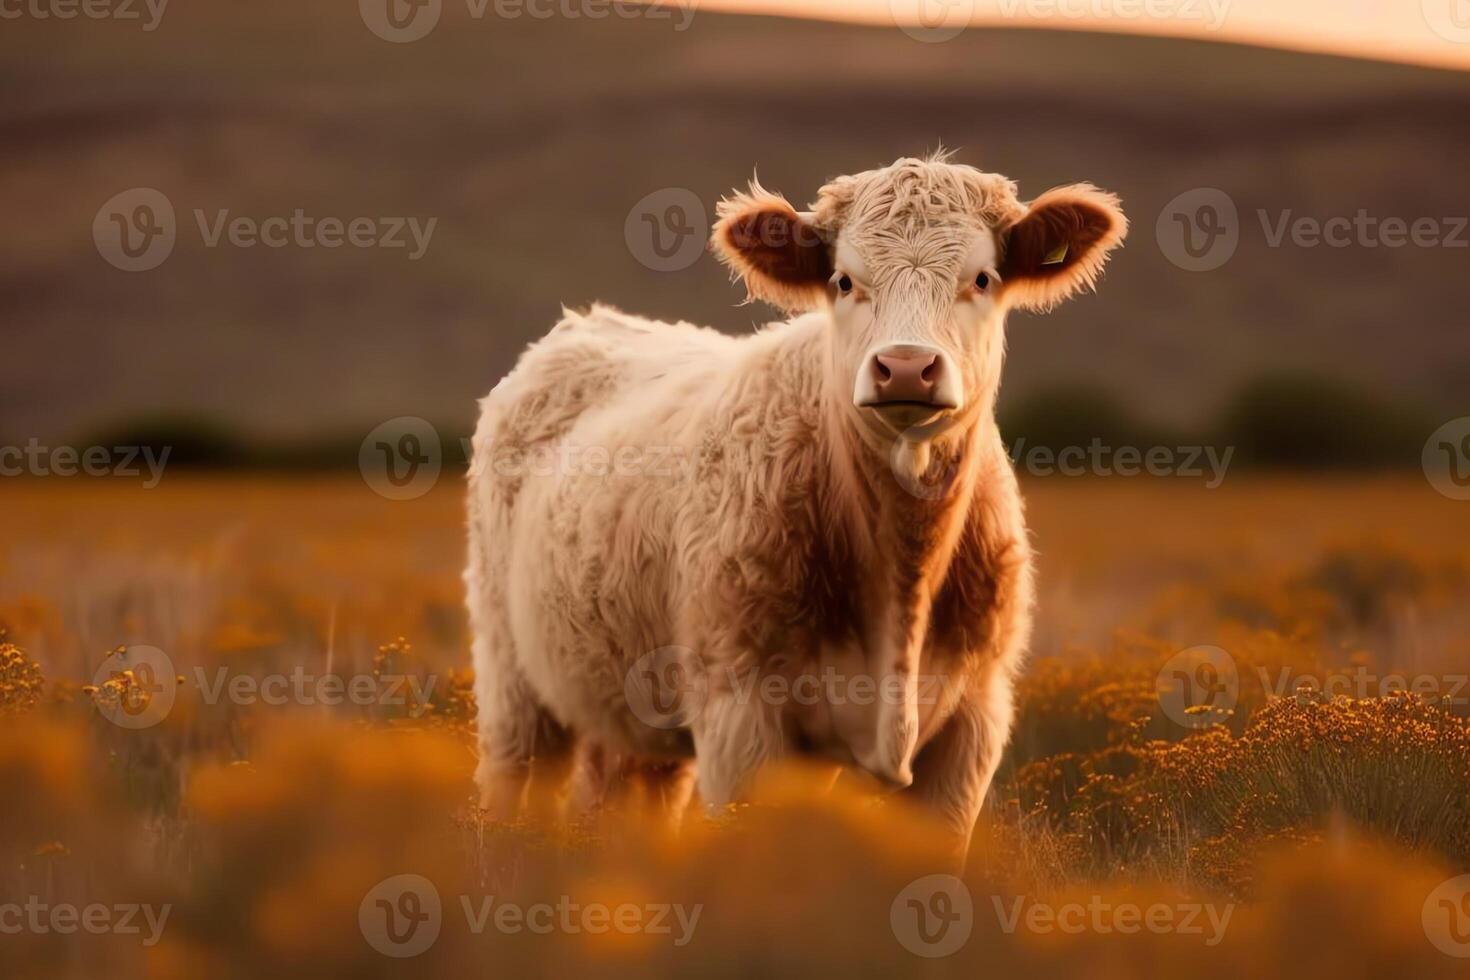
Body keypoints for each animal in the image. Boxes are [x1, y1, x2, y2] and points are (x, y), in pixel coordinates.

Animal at [464, 153, 1128, 858]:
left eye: (982, 278)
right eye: (843, 280)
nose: (906, 366)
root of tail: (588, 323)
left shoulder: (972, 722)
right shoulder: (739, 714)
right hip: (512, 680)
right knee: (512, 785)